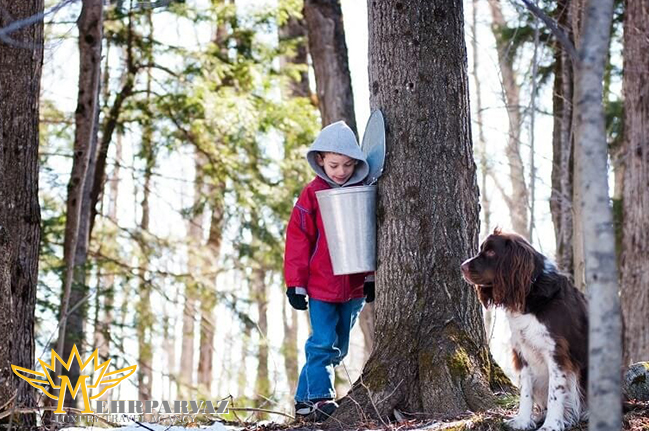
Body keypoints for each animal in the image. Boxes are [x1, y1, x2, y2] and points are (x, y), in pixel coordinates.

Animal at [460, 228, 588, 430]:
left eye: (491, 252)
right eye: (482, 249)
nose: (462, 266)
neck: (530, 292)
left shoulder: (556, 353)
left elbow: (555, 393)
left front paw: (551, 425)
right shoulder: (523, 352)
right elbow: (526, 392)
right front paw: (522, 421)